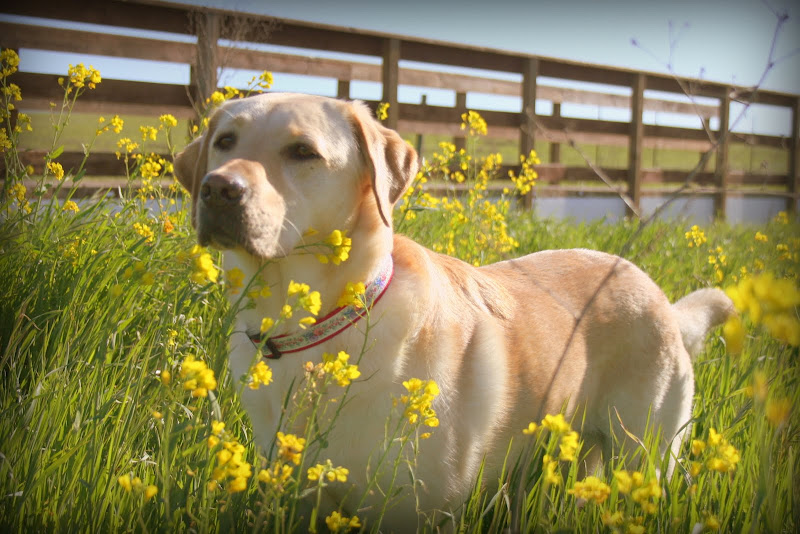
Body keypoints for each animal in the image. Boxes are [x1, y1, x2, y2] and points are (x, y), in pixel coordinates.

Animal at [173, 93, 732, 532]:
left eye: (303, 151)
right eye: (225, 141)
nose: (218, 188)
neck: (318, 331)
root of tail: (657, 293)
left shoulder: (415, 509)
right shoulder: (303, 496)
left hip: (645, 456)